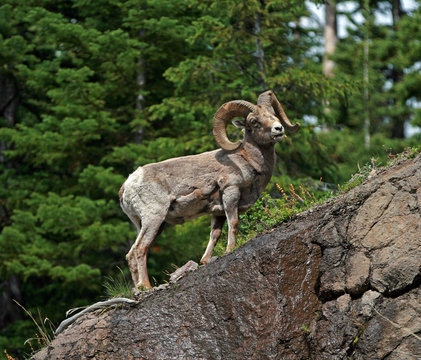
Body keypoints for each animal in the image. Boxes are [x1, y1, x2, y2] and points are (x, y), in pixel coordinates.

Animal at [120, 90, 300, 290]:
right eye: (254, 121)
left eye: (273, 114)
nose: (278, 129)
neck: (248, 160)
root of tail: (128, 185)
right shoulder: (231, 193)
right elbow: (233, 223)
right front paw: (230, 249)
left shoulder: (217, 212)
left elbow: (215, 234)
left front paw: (205, 260)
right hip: (154, 218)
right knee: (140, 249)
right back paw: (146, 286)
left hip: (148, 224)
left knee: (131, 253)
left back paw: (138, 288)